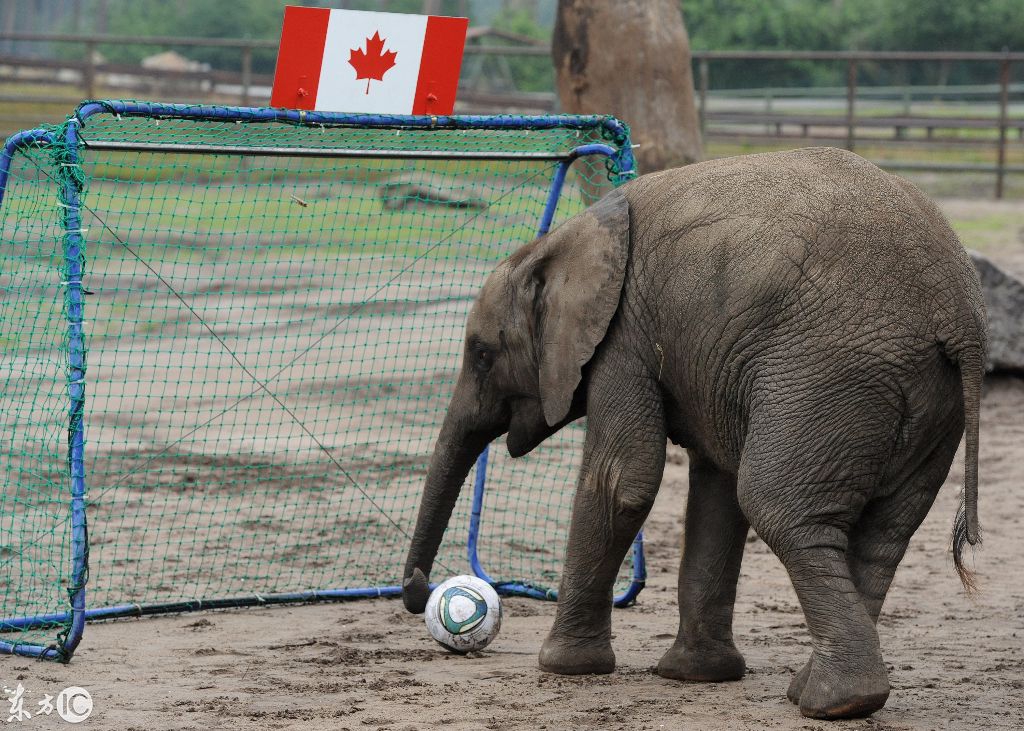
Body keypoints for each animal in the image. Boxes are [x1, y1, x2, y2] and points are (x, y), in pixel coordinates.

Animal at [397, 146, 983, 716]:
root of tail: (961, 317)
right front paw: (695, 676)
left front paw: (564, 667)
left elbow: (623, 481)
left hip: (829, 373)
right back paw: (821, 693)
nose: (425, 593)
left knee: (779, 507)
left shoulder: (623, 337)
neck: (561, 242)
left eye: (481, 354)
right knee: (883, 536)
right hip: (926, 402)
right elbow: (714, 492)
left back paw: (836, 702)